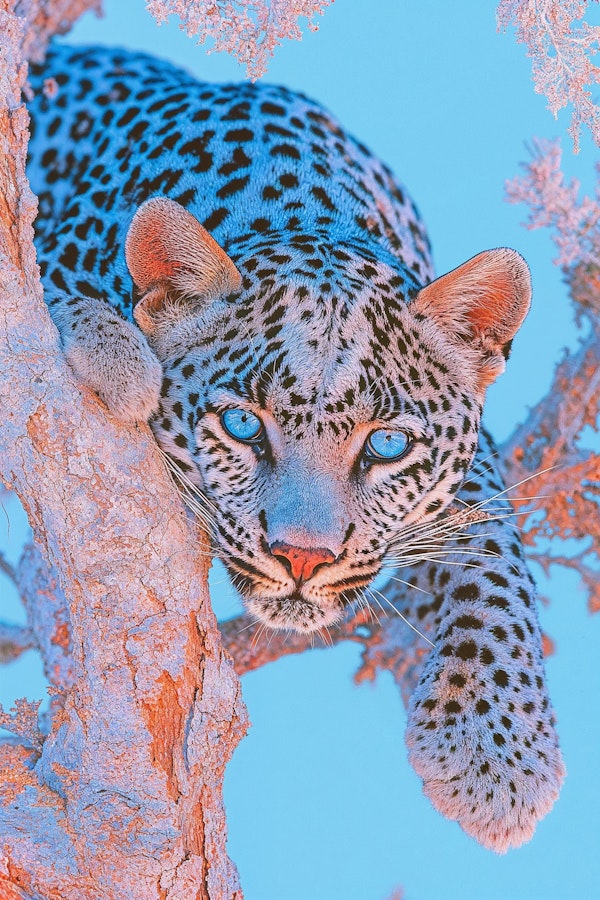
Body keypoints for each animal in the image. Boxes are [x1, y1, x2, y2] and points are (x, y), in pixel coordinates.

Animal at [27, 44, 564, 852]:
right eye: (244, 427)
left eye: (386, 445)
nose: (303, 558)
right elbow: (47, 287)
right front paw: (121, 359)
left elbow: (491, 549)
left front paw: (498, 749)